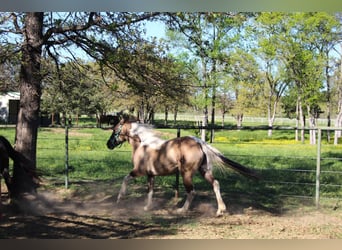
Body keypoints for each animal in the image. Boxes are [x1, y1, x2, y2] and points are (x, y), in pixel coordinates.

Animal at [107, 116, 260, 216]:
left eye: (115, 130)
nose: (108, 144)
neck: (143, 144)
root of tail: (199, 142)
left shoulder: (139, 171)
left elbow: (126, 179)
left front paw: (120, 198)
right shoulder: (151, 175)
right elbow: (150, 191)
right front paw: (147, 207)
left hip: (186, 173)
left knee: (191, 191)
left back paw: (182, 210)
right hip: (204, 171)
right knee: (215, 183)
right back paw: (220, 210)